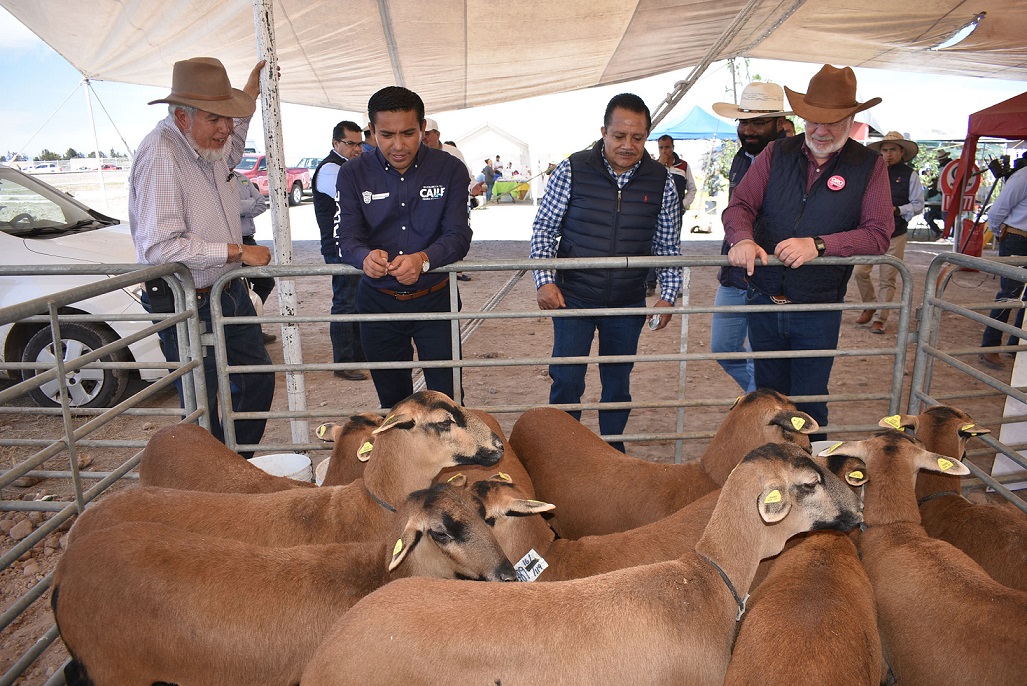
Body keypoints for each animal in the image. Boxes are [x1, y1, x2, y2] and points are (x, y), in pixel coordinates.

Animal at [53, 482, 517, 686]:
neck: (379, 574)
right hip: (116, 671)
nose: (508, 575)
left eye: (484, 516)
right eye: (441, 532)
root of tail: (64, 572)